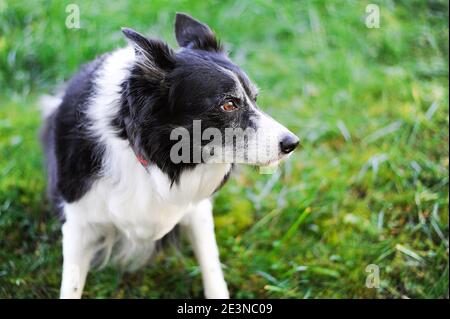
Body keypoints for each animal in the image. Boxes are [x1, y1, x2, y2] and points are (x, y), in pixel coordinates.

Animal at [40, 11, 298, 298]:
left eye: (255, 98)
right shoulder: (79, 220)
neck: (150, 157)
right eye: (229, 104)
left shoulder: (197, 209)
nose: (292, 143)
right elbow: (71, 285)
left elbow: (211, 266)